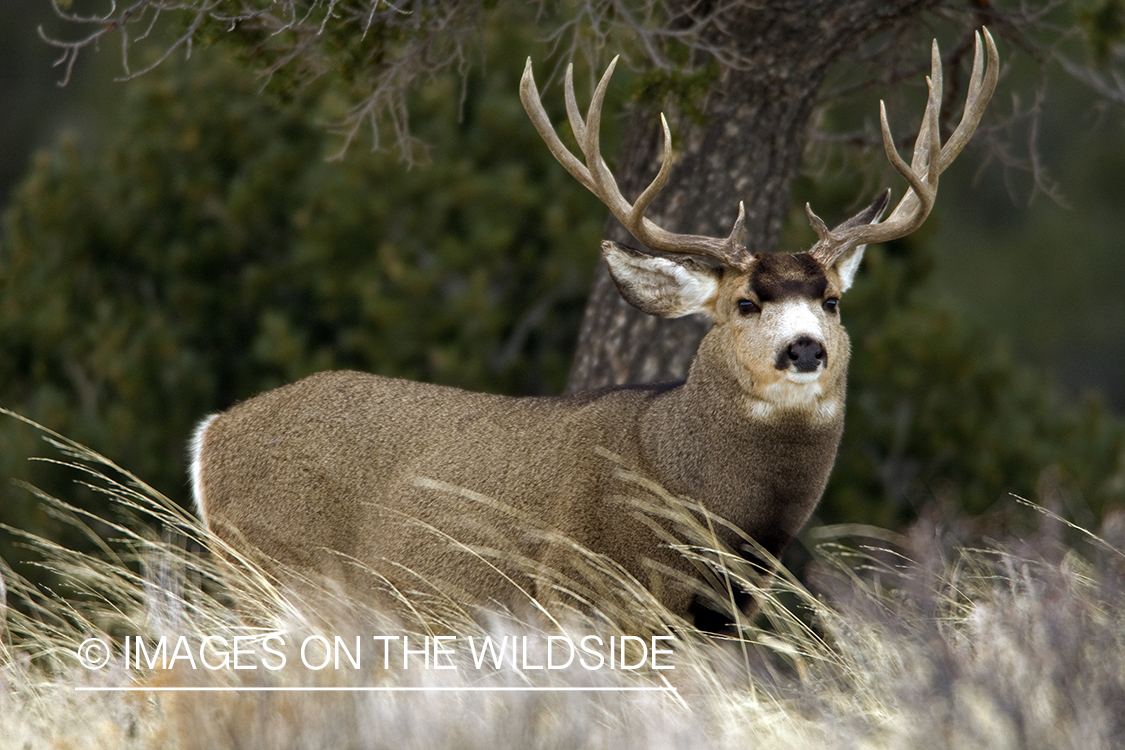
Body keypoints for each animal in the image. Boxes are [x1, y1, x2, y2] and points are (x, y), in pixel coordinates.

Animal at [190, 31, 998, 628]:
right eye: (744, 303)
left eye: (831, 299)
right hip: (280, 570)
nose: (806, 348)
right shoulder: (586, 596)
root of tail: (210, 434)